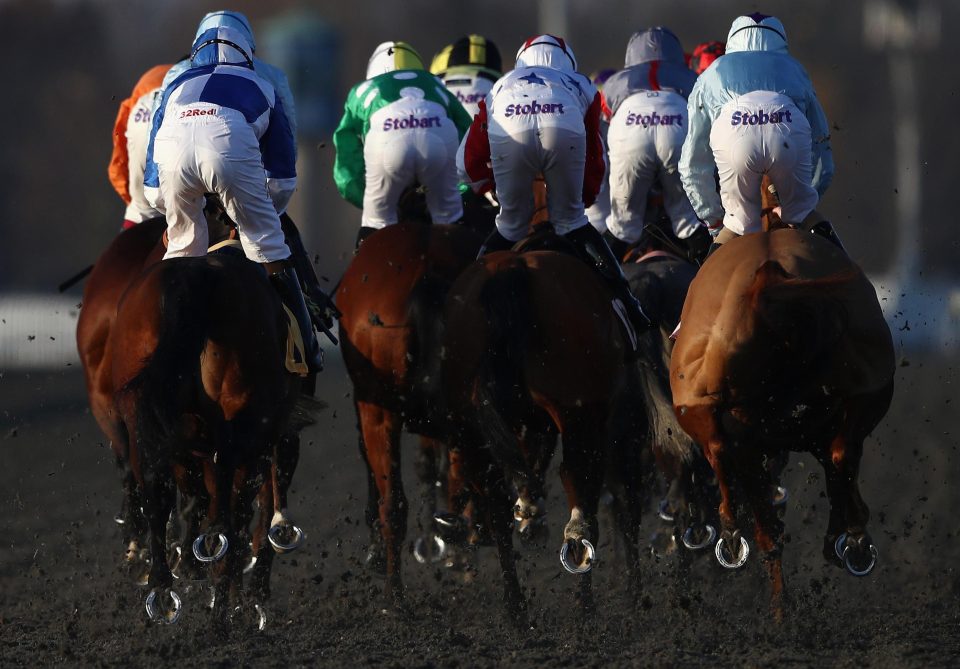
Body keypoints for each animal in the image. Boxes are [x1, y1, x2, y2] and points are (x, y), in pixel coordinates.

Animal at [440, 244, 632, 616]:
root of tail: (509, 269)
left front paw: (528, 512)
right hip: (579, 419)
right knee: (580, 514)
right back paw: (585, 609)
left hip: (470, 427)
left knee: (496, 503)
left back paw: (517, 610)